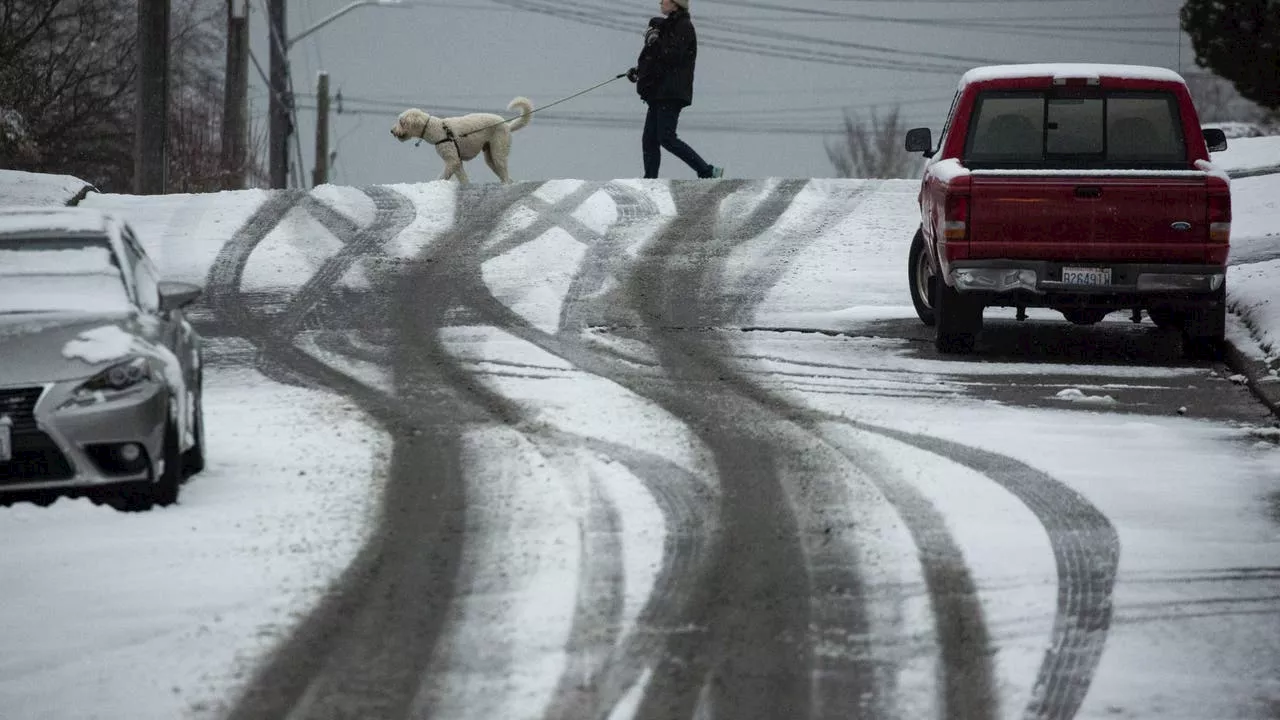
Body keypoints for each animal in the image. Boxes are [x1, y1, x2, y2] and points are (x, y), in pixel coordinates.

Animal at [386, 96, 532, 183]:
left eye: (401, 122)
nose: (392, 131)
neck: (436, 129)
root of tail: (507, 125)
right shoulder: (458, 162)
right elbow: (463, 178)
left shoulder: (452, 160)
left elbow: (443, 176)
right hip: (490, 155)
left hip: (498, 150)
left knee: (505, 174)